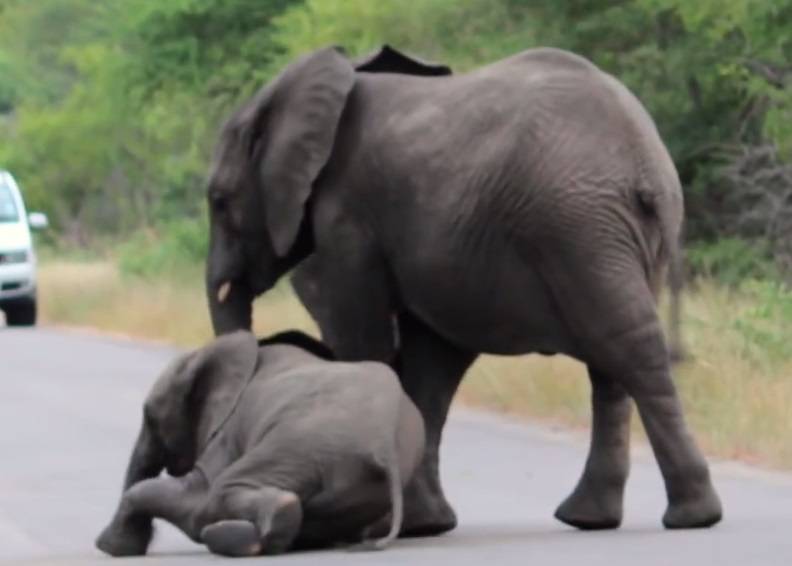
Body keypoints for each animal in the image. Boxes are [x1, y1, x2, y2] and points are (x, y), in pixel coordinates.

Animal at [97, 330, 426, 556]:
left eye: (150, 418)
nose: (101, 543)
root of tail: (384, 443)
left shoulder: (227, 434)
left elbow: (193, 499)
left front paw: (112, 547)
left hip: (300, 444)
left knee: (216, 497)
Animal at [203, 44, 716, 536]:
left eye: (219, 201)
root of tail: (644, 162)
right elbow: (431, 366)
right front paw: (423, 525)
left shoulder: (348, 220)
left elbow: (367, 342)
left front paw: (383, 523)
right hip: (611, 232)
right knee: (612, 361)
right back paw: (596, 519)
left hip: (576, 226)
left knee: (626, 347)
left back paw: (690, 517)